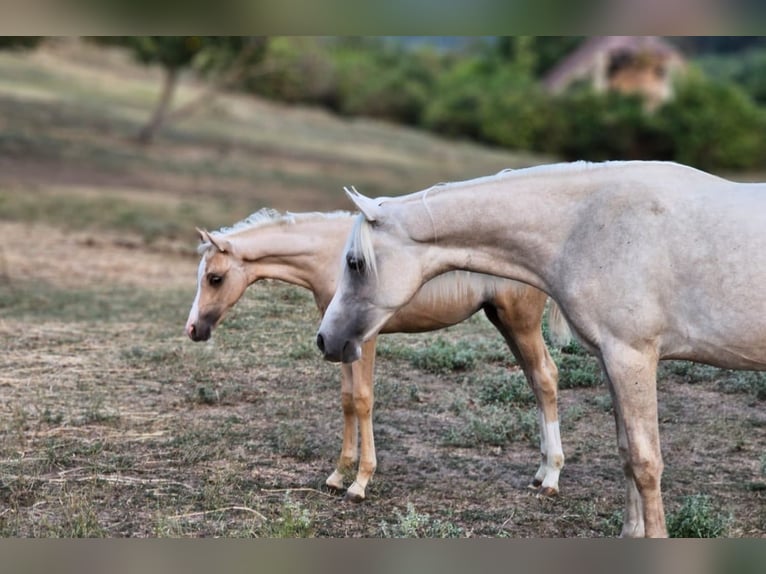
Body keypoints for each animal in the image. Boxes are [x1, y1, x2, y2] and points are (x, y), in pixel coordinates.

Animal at [184, 210, 568, 504]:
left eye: (215, 278)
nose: (193, 329)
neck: (333, 256)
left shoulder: (362, 339)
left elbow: (363, 399)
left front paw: (360, 482)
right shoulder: (336, 341)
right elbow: (346, 400)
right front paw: (338, 474)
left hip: (520, 322)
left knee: (546, 376)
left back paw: (551, 478)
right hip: (503, 321)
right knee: (536, 380)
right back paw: (540, 471)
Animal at [316, 162, 766, 540]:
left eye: (354, 263)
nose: (326, 339)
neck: (589, 227)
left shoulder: (632, 357)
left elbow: (645, 462)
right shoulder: (611, 360)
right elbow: (626, 454)